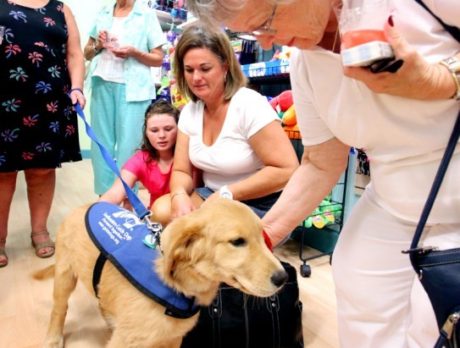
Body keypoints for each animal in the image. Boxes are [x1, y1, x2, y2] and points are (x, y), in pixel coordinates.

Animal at [35, 198, 288, 348]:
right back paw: (53, 338)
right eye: (237, 242)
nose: (283, 278)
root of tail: (82, 207)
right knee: (59, 309)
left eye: (262, 237)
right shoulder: (124, 342)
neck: (181, 287)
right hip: (65, 276)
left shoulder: (172, 340)